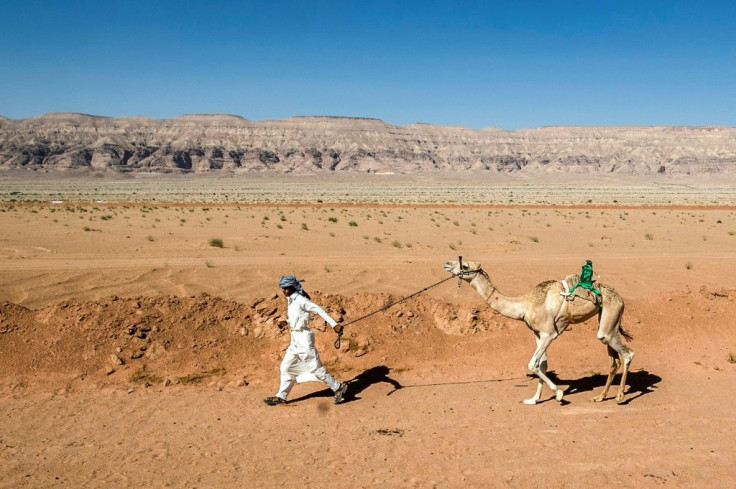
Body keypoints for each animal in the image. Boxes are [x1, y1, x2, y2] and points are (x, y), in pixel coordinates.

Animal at [446, 260, 636, 404]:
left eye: (464, 265)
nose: (447, 264)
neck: (525, 305)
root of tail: (620, 297)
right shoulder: (538, 334)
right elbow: (542, 364)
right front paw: (533, 399)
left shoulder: (549, 333)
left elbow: (533, 364)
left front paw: (559, 394)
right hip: (606, 321)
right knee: (614, 360)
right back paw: (601, 396)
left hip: (611, 314)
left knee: (628, 353)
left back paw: (620, 395)